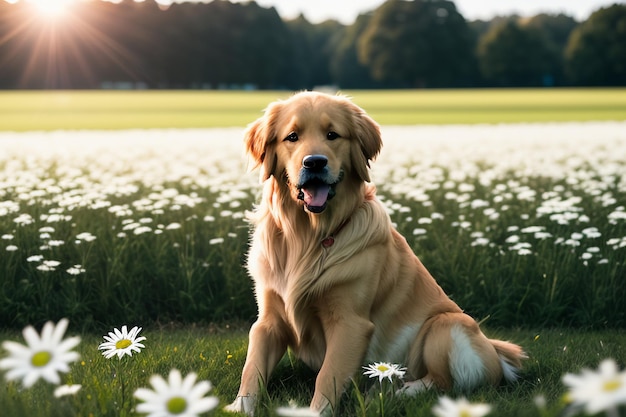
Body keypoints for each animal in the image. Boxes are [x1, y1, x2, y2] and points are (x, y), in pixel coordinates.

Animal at [227, 90, 524, 412]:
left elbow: (327, 376)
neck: (308, 237)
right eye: (292, 137)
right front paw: (238, 408)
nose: (315, 162)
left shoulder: (351, 323)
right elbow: (251, 369)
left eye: (332, 135)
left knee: (443, 384)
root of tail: (495, 351)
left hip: (447, 324)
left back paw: (394, 392)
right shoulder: (268, 320)